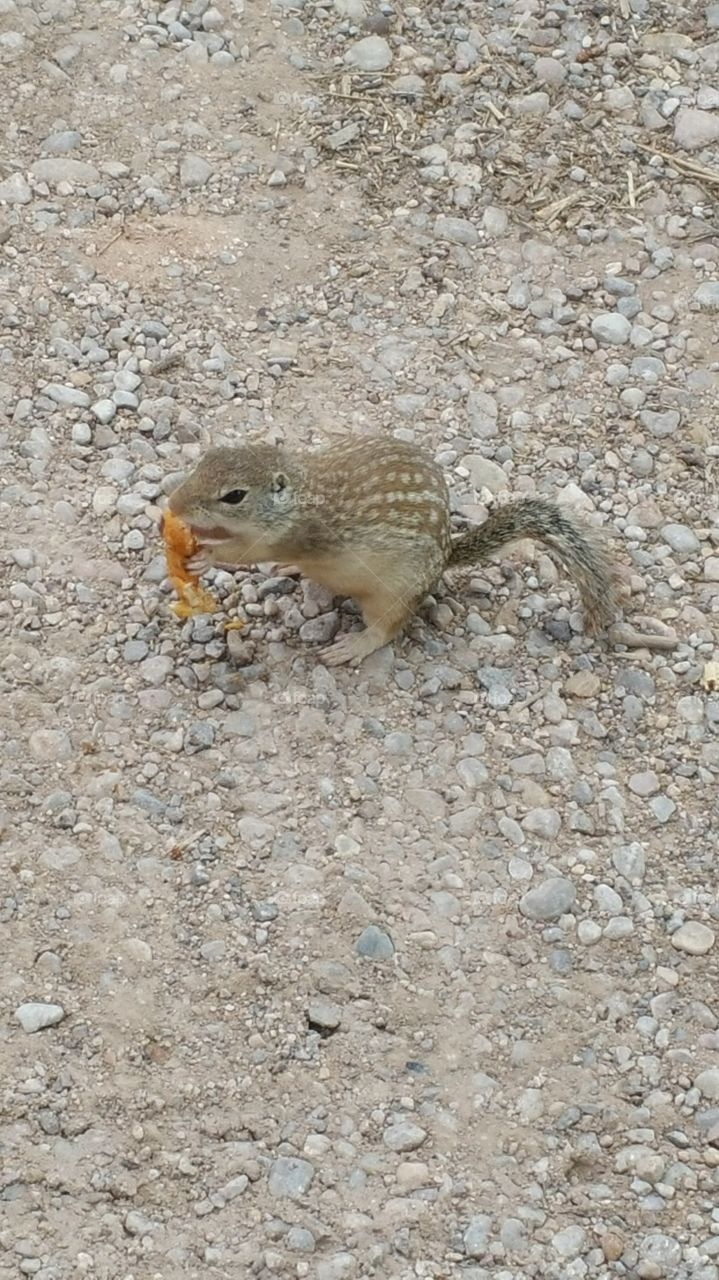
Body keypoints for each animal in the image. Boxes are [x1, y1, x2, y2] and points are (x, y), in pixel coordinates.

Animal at [166, 435, 616, 665]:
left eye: (234, 496)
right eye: (206, 459)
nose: (173, 503)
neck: (302, 492)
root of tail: (446, 555)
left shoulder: (292, 535)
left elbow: (244, 553)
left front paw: (205, 555)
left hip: (393, 595)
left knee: (388, 629)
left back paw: (352, 646)